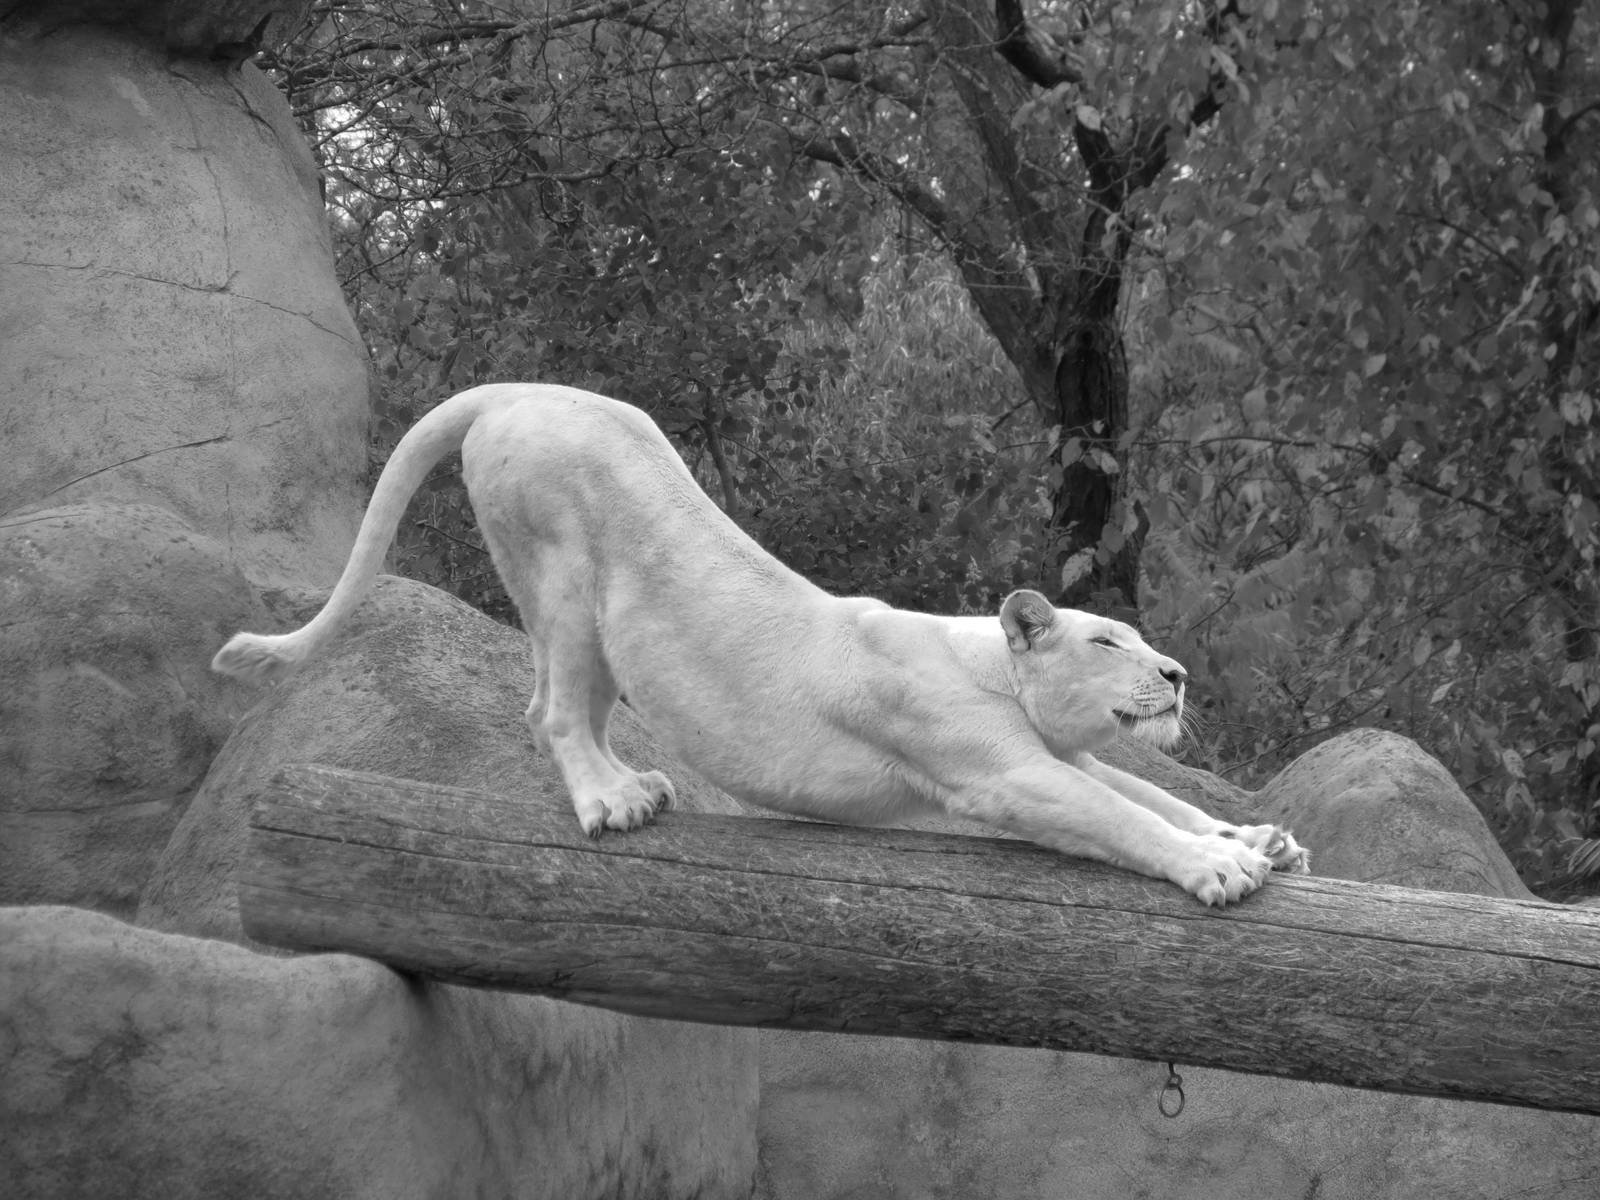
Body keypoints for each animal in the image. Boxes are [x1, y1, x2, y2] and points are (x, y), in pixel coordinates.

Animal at [213, 383, 1308, 905]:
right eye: (1107, 639)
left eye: (1141, 639)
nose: (1176, 674)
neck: (995, 673)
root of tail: (510, 390)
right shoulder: (998, 773)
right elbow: (1121, 816)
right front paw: (1220, 871)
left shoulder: (1053, 755)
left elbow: (1148, 793)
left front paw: (1253, 837)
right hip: (565, 574)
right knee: (551, 708)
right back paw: (614, 801)